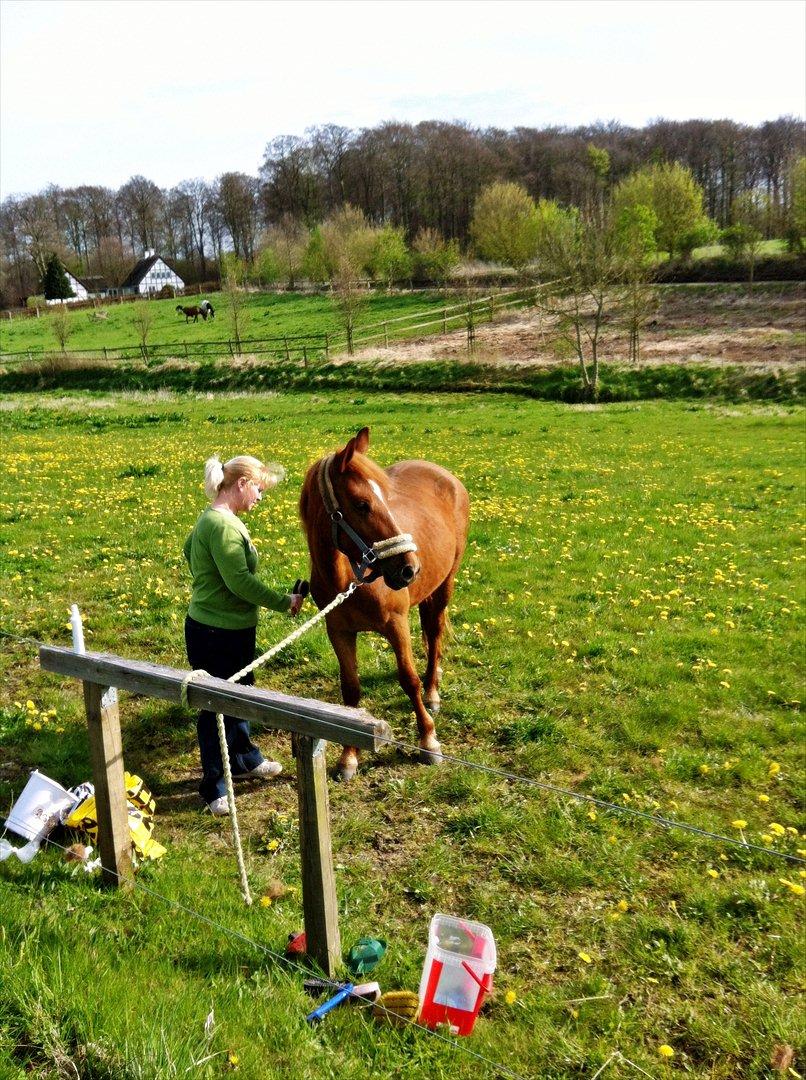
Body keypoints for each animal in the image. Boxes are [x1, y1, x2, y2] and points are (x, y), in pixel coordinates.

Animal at [299, 427, 469, 780]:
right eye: (362, 504)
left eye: (385, 500)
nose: (409, 568)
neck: (349, 580)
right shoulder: (338, 632)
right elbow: (350, 691)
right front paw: (348, 757)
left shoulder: (396, 624)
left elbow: (409, 679)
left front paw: (428, 739)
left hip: (445, 585)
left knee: (434, 634)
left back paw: (433, 690)